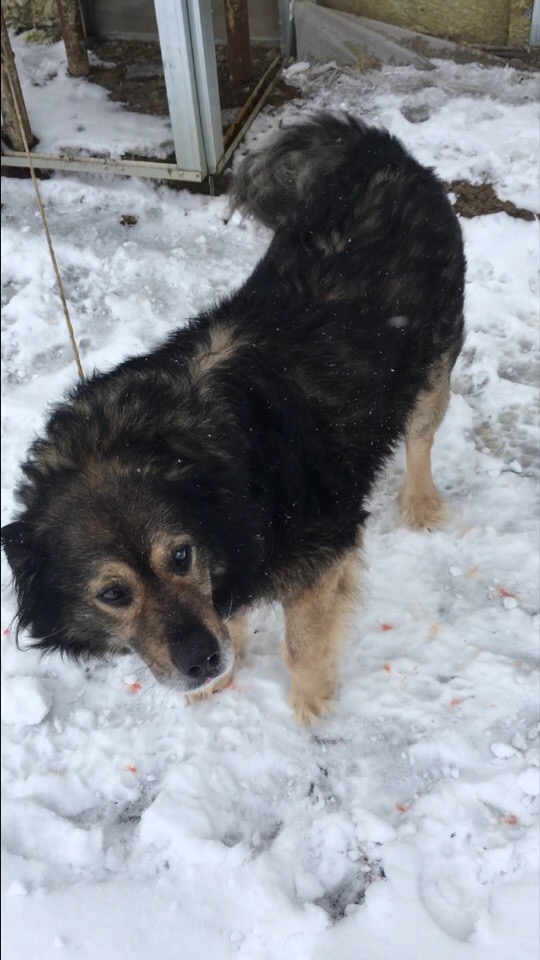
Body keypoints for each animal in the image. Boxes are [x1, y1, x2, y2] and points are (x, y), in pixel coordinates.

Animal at [0, 112, 464, 724]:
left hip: (432, 362)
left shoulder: (323, 550)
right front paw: (228, 667)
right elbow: (231, 611)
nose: (203, 662)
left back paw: (421, 501)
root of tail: (380, 150)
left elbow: (302, 643)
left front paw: (312, 705)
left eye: (181, 556)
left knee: (420, 437)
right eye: (113, 594)